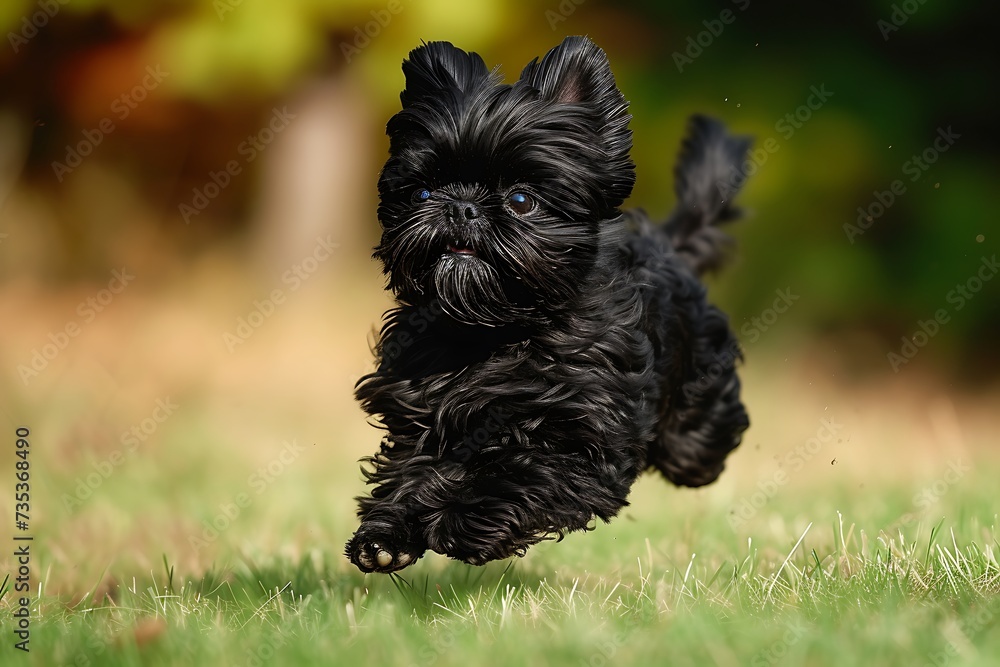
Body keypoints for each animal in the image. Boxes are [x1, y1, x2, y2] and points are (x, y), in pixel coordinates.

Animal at [348, 35, 748, 576]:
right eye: (424, 191)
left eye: (521, 200)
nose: (460, 207)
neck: (493, 331)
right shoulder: (418, 413)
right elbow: (410, 469)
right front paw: (387, 533)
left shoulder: (581, 436)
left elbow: (523, 472)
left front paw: (462, 521)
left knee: (698, 441)